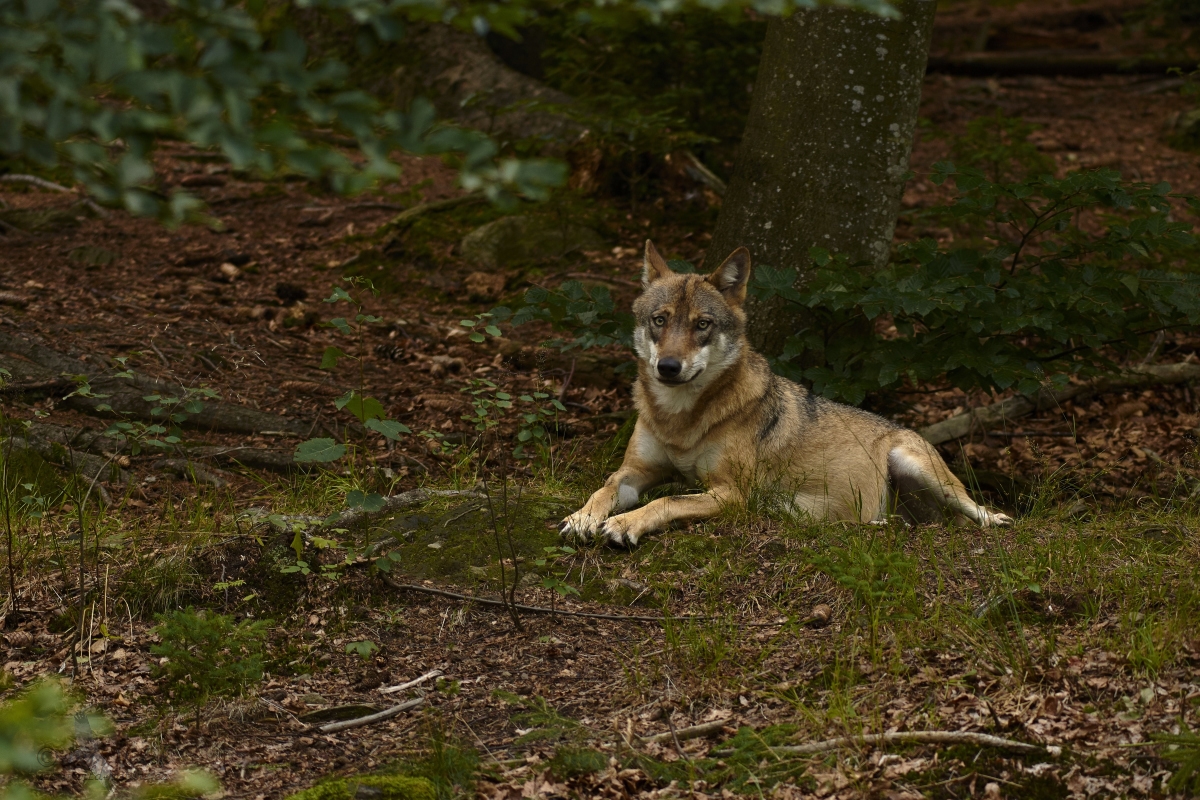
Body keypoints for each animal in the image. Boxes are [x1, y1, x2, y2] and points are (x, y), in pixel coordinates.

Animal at [561, 241, 1012, 546]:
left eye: (703, 324)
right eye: (659, 320)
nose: (668, 368)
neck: (681, 421)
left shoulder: (732, 494)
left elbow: (666, 502)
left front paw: (624, 524)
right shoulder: (635, 472)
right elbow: (604, 487)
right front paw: (582, 517)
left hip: (913, 463)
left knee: (975, 511)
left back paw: (998, 521)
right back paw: (887, 523)